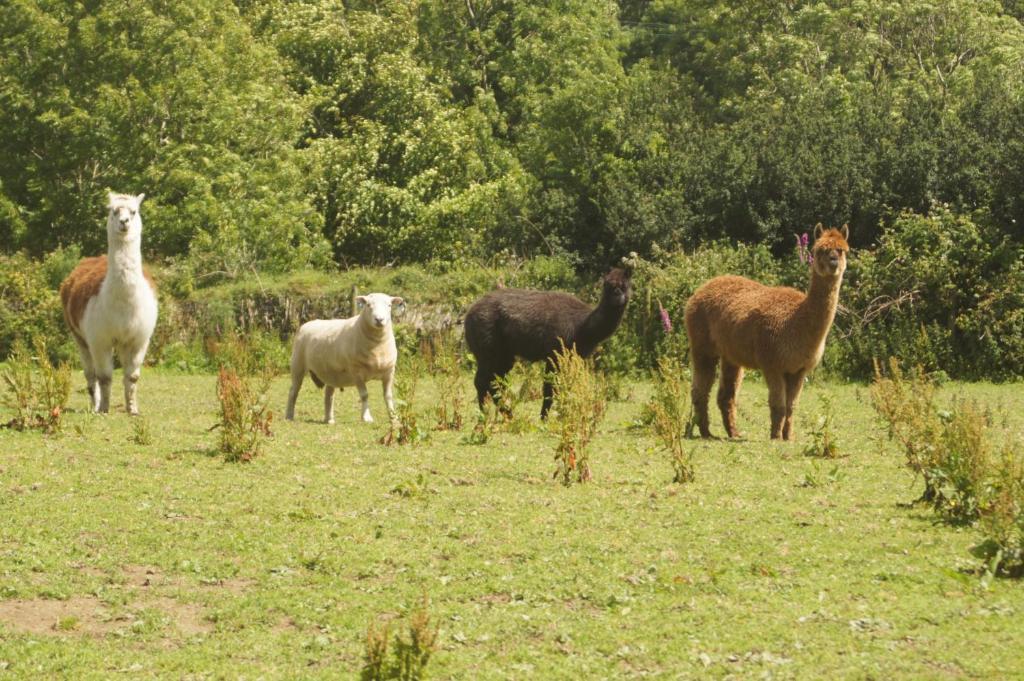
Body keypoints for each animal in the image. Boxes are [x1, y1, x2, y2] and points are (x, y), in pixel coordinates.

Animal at [286, 292, 405, 426]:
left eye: (389, 305)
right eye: (368, 305)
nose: (379, 320)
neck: (377, 346)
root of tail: (307, 324)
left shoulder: (389, 372)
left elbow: (388, 396)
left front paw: (394, 418)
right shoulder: (357, 371)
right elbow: (365, 395)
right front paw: (366, 417)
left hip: (330, 372)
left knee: (329, 395)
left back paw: (329, 419)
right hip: (298, 365)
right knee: (293, 391)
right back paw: (289, 416)